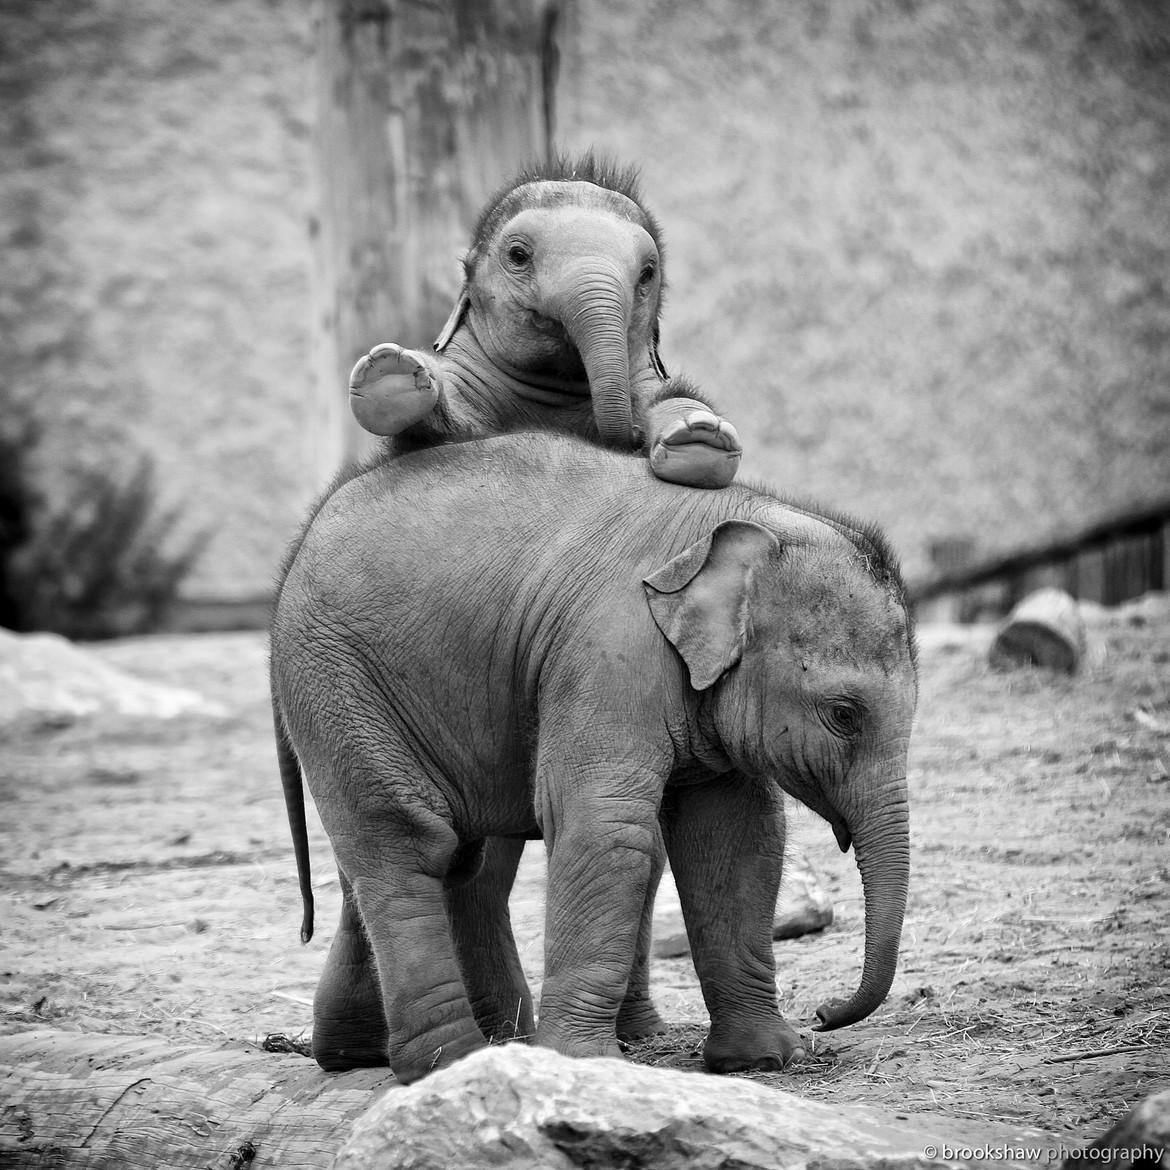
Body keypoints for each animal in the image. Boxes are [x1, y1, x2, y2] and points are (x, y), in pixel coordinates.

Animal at [271, 432, 918, 1086]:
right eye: (843, 714)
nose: (825, 1014)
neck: (738, 522)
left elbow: (736, 836)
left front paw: (764, 1058)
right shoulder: (609, 650)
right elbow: (604, 826)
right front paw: (584, 1064)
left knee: (440, 858)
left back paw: (361, 1054)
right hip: (336, 678)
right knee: (408, 843)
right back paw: (452, 1062)